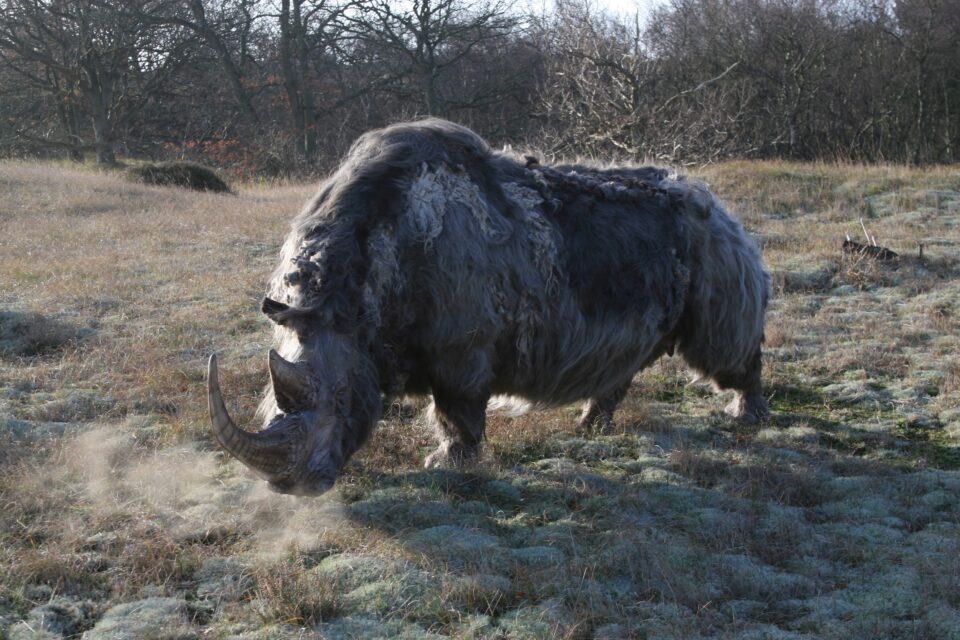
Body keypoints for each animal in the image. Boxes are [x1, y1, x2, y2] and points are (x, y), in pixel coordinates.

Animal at [207, 119, 770, 496]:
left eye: (342, 399)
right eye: (272, 399)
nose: (291, 486)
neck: (352, 308)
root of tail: (721, 206)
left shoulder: (462, 346)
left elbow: (456, 408)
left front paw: (448, 464)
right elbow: (452, 409)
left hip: (713, 247)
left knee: (722, 344)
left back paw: (747, 417)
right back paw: (591, 426)